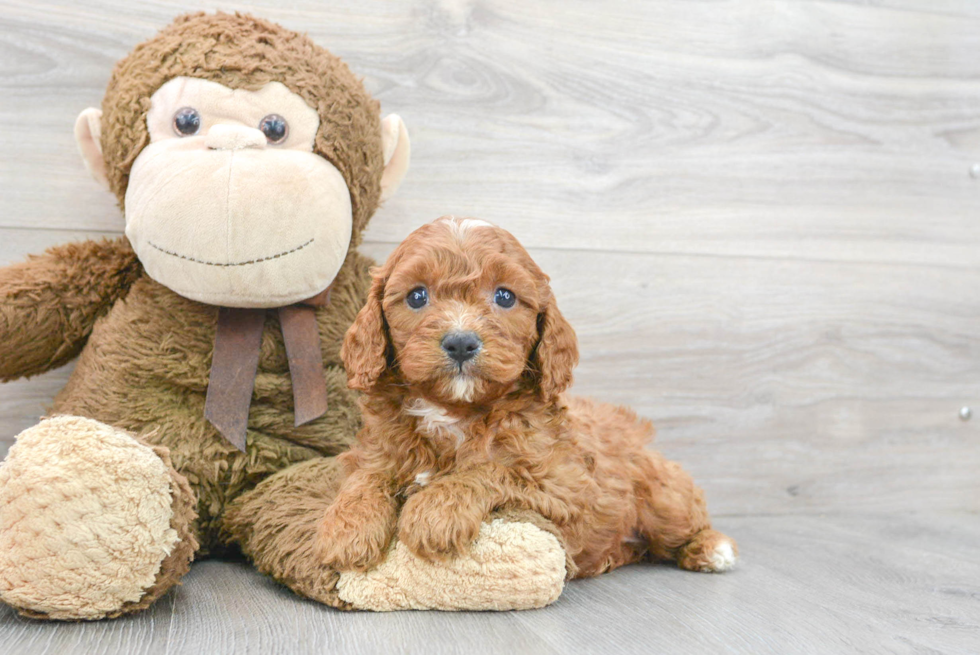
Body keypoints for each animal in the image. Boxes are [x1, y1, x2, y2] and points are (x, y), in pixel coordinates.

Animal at [318, 218, 740, 576]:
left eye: (505, 297)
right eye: (417, 296)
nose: (460, 342)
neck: (454, 410)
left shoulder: (566, 485)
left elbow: (492, 471)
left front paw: (434, 512)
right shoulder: (372, 453)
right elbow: (366, 477)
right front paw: (346, 529)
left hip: (664, 498)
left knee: (686, 522)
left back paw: (713, 549)